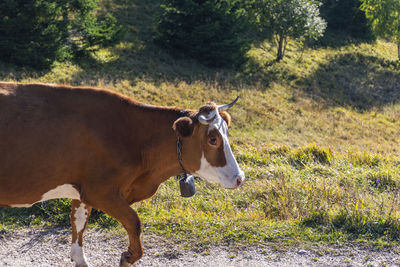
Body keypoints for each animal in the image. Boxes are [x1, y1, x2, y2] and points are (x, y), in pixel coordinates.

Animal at [0, 82, 244, 266]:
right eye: (213, 139)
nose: (240, 178)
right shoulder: (101, 192)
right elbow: (134, 222)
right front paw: (128, 256)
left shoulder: (83, 191)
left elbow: (78, 223)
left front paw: (80, 259)